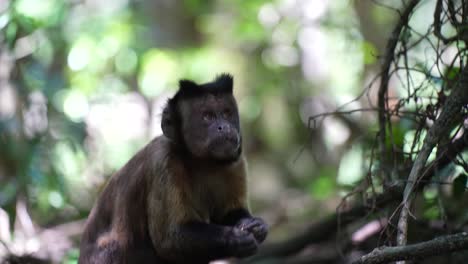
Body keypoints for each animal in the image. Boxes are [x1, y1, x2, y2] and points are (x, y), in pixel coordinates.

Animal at [77, 73, 266, 262]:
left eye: (227, 113)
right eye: (208, 116)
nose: (225, 126)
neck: (201, 162)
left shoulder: (236, 161)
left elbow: (229, 213)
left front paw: (254, 225)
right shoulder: (164, 160)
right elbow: (170, 240)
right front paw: (235, 239)